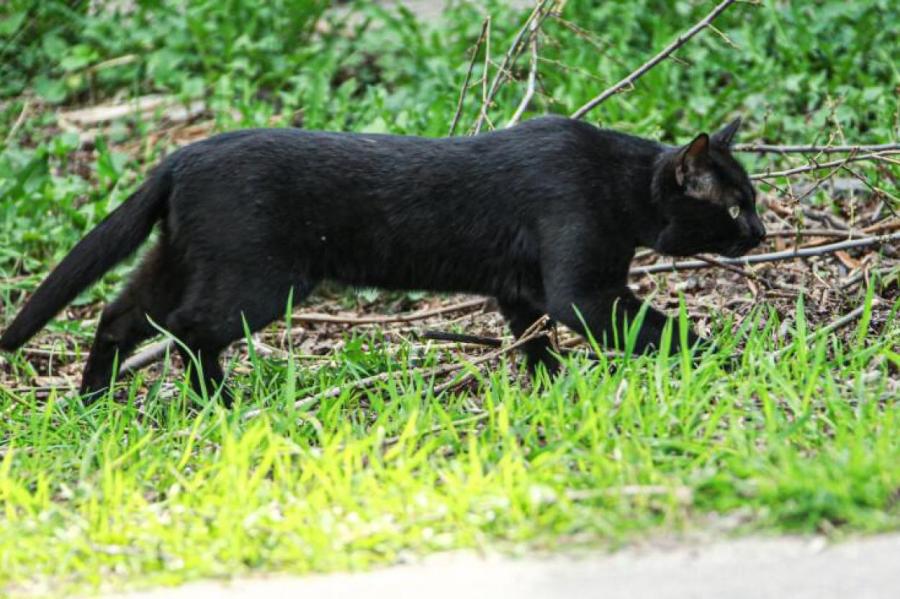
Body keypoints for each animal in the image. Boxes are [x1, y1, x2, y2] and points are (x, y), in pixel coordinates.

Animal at [1, 115, 768, 406]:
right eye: (732, 207)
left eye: (752, 201)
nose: (759, 231)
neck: (619, 184)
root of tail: (181, 156)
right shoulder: (582, 290)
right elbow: (663, 330)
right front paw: (725, 360)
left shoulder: (521, 290)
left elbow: (534, 344)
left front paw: (552, 395)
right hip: (256, 282)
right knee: (188, 333)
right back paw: (222, 405)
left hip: (179, 260)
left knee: (118, 313)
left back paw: (94, 399)